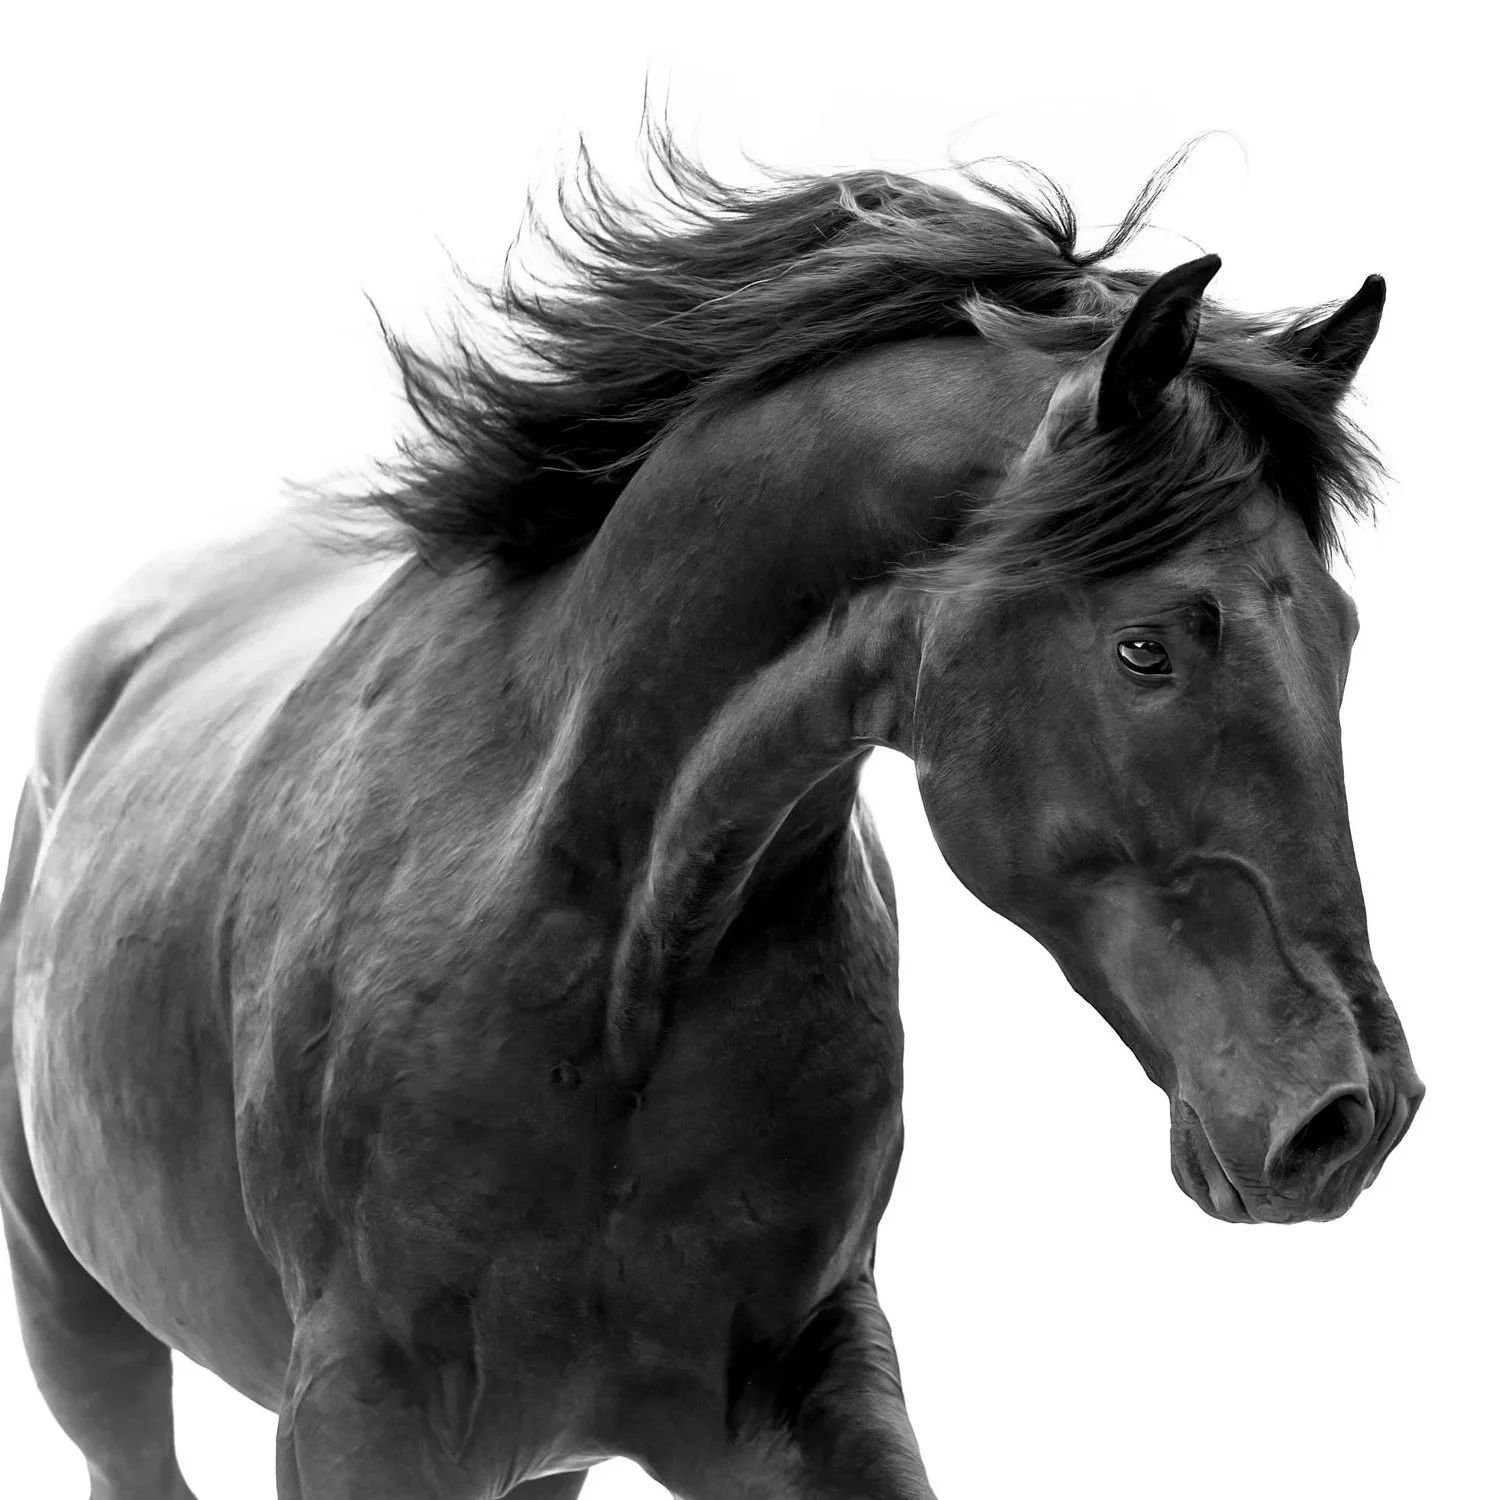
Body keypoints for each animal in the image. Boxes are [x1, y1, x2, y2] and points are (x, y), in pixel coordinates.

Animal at [1, 131, 1424, 1499]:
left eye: (1345, 633)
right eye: (1146, 647)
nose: (1353, 1115)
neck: (602, 966)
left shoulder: (805, 1384)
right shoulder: (359, 1418)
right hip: (80, 1324)